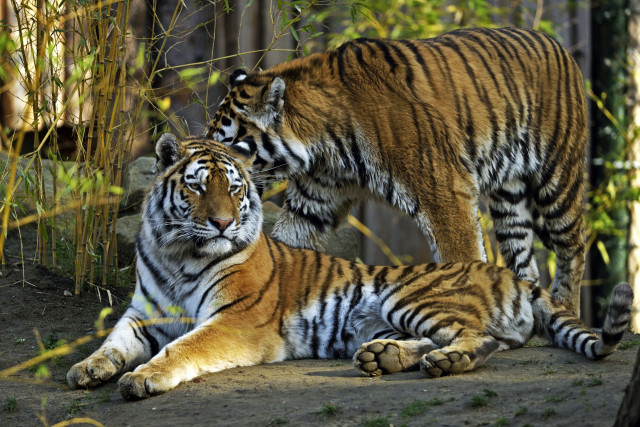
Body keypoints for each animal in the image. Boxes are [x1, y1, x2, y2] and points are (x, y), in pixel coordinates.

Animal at [66, 135, 629, 400]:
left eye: (234, 187)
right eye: (197, 187)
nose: (224, 223)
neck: (178, 254)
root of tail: (507, 274)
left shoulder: (234, 319)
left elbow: (185, 348)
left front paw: (143, 378)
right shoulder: (143, 315)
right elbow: (112, 342)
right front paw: (88, 368)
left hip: (408, 296)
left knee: (482, 340)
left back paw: (440, 363)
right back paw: (385, 357)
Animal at [205, 27, 589, 315]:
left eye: (231, 146)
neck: (322, 145)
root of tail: (557, 43)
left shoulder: (444, 191)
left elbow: (461, 257)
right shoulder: (315, 199)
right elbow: (284, 247)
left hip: (557, 176)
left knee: (574, 245)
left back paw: (567, 309)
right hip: (509, 196)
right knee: (524, 256)